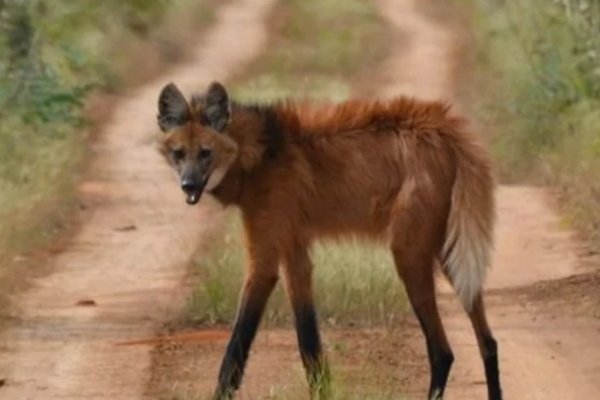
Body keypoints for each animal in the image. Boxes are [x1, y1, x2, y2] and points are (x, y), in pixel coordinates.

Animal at [156, 82, 502, 400]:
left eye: (205, 153)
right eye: (179, 154)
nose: (189, 185)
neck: (261, 152)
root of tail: (444, 126)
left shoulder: (266, 252)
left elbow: (237, 344)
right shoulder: (294, 247)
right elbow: (308, 341)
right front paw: (323, 391)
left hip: (410, 253)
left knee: (443, 351)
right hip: (451, 252)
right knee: (488, 342)